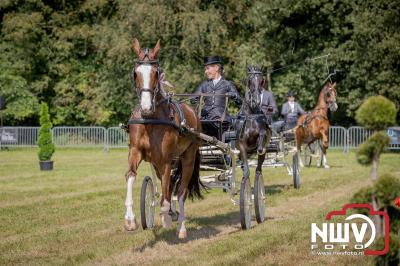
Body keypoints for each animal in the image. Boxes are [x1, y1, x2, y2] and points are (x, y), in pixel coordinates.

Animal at [123, 38, 202, 239]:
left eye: (156, 72)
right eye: (135, 73)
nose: (145, 106)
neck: (150, 120)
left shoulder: (165, 159)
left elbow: (168, 194)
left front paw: (166, 215)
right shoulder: (135, 152)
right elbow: (131, 176)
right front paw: (130, 219)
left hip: (188, 158)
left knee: (180, 191)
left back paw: (180, 226)